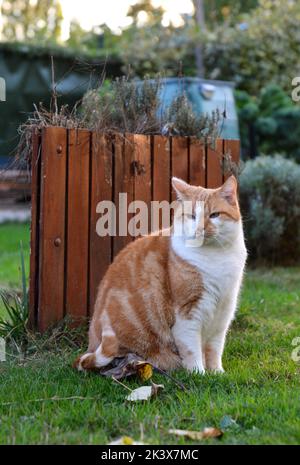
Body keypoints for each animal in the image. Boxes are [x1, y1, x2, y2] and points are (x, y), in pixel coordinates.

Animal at [74, 175, 246, 374]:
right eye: (192, 216)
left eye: (214, 215)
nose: (199, 229)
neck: (215, 257)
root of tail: (91, 346)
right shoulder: (188, 313)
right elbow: (192, 349)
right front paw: (199, 373)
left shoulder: (224, 310)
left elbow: (215, 348)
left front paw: (217, 373)